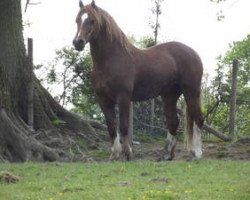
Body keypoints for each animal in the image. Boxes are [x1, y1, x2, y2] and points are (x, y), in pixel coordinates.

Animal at [73, 0, 204, 161]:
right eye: (77, 20)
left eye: (92, 20)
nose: (78, 42)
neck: (112, 59)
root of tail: (193, 53)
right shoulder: (103, 99)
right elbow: (111, 126)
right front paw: (114, 155)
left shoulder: (123, 97)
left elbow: (123, 126)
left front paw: (128, 153)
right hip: (169, 95)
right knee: (173, 122)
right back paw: (167, 155)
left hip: (192, 91)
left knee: (198, 119)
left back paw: (197, 153)